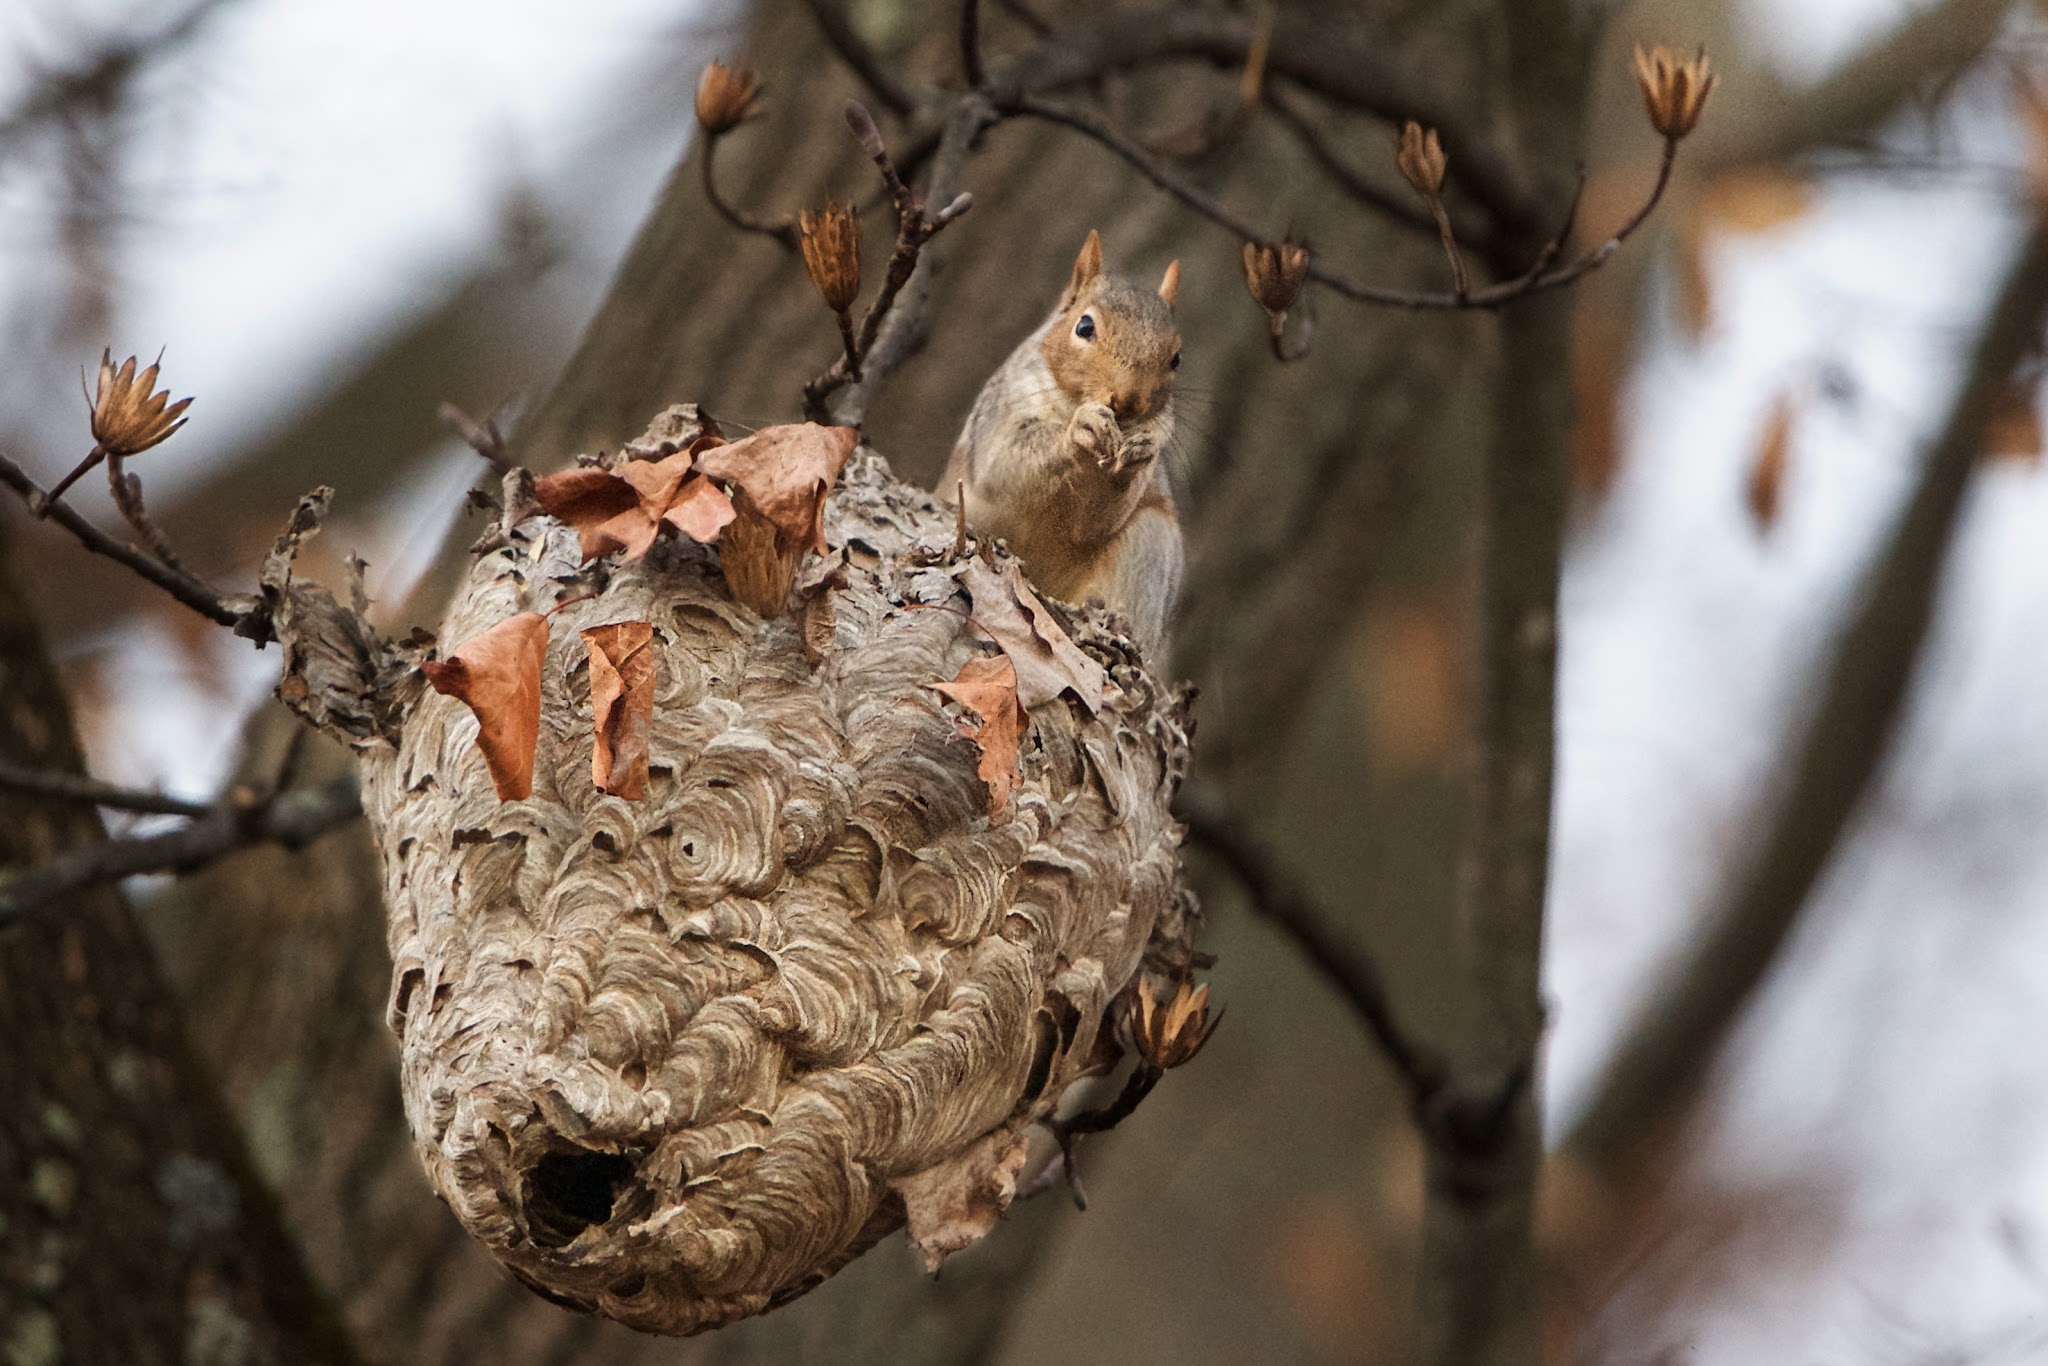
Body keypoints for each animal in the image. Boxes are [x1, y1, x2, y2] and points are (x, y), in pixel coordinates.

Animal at [942, 229, 1184, 661]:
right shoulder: (1000, 417)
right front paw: (1079, 430)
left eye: (1176, 358)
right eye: (1084, 326)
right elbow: (1003, 465)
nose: (1129, 401)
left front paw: (1136, 456)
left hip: (1151, 545)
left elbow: (1095, 521)